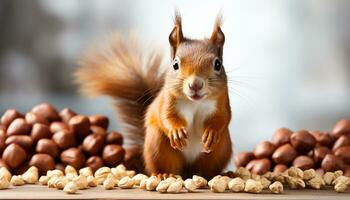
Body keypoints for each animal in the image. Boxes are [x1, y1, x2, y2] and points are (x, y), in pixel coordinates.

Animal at [74, 11, 232, 179]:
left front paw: (211, 133)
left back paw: (221, 174)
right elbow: (166, 116)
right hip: (158, 145)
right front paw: (176, 131)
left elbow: (223, 118)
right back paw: (164, 175)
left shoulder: (222, 101)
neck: (195, 102)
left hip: (219, 150)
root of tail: (187, 173)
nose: (195, 85)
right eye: (175, 65)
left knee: (206, 170)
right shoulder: (166, 100)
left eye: (217, 64)